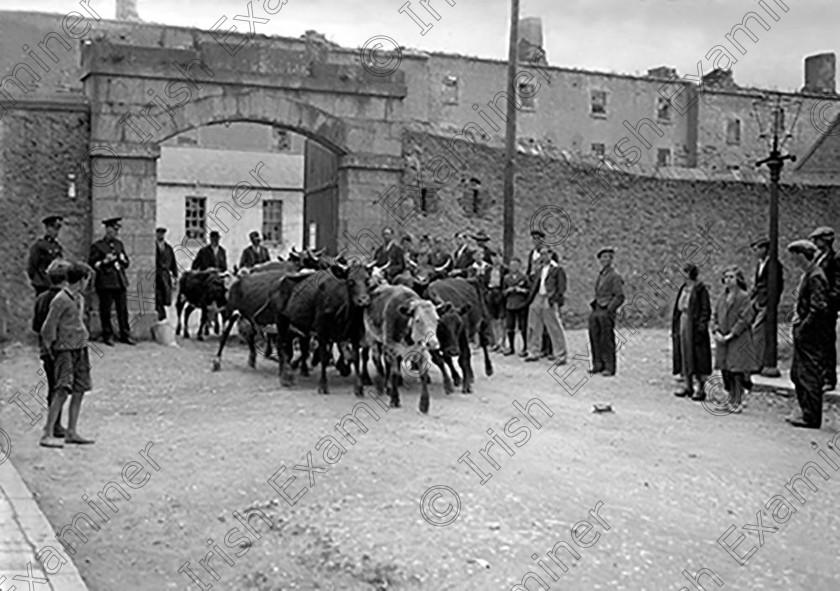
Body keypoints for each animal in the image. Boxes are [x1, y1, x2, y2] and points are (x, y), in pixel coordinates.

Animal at [272, 262, 370, 394]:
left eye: (367, 280)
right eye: (350, 281)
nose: (363, 300)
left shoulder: (355, 333)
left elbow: (355, 357)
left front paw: (358, 387)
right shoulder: (321, 332)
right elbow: (324, 356)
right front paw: (323, 385)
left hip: (296, 325)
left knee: (290, 345)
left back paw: (289, 372)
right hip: (281, 321)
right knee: (282, 345)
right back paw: (285, 377)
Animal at [364, 284, 450, 414]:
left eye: (437, 319)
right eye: (418, 320)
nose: (433, 343)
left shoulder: (420, 351)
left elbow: (423, 374)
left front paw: (424, 404)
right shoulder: (392, 348)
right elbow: (394, 373)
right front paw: (394, 399)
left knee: (387, 365)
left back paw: (388, 387)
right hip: (372, 338)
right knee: (377, 361)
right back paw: (380, 387)